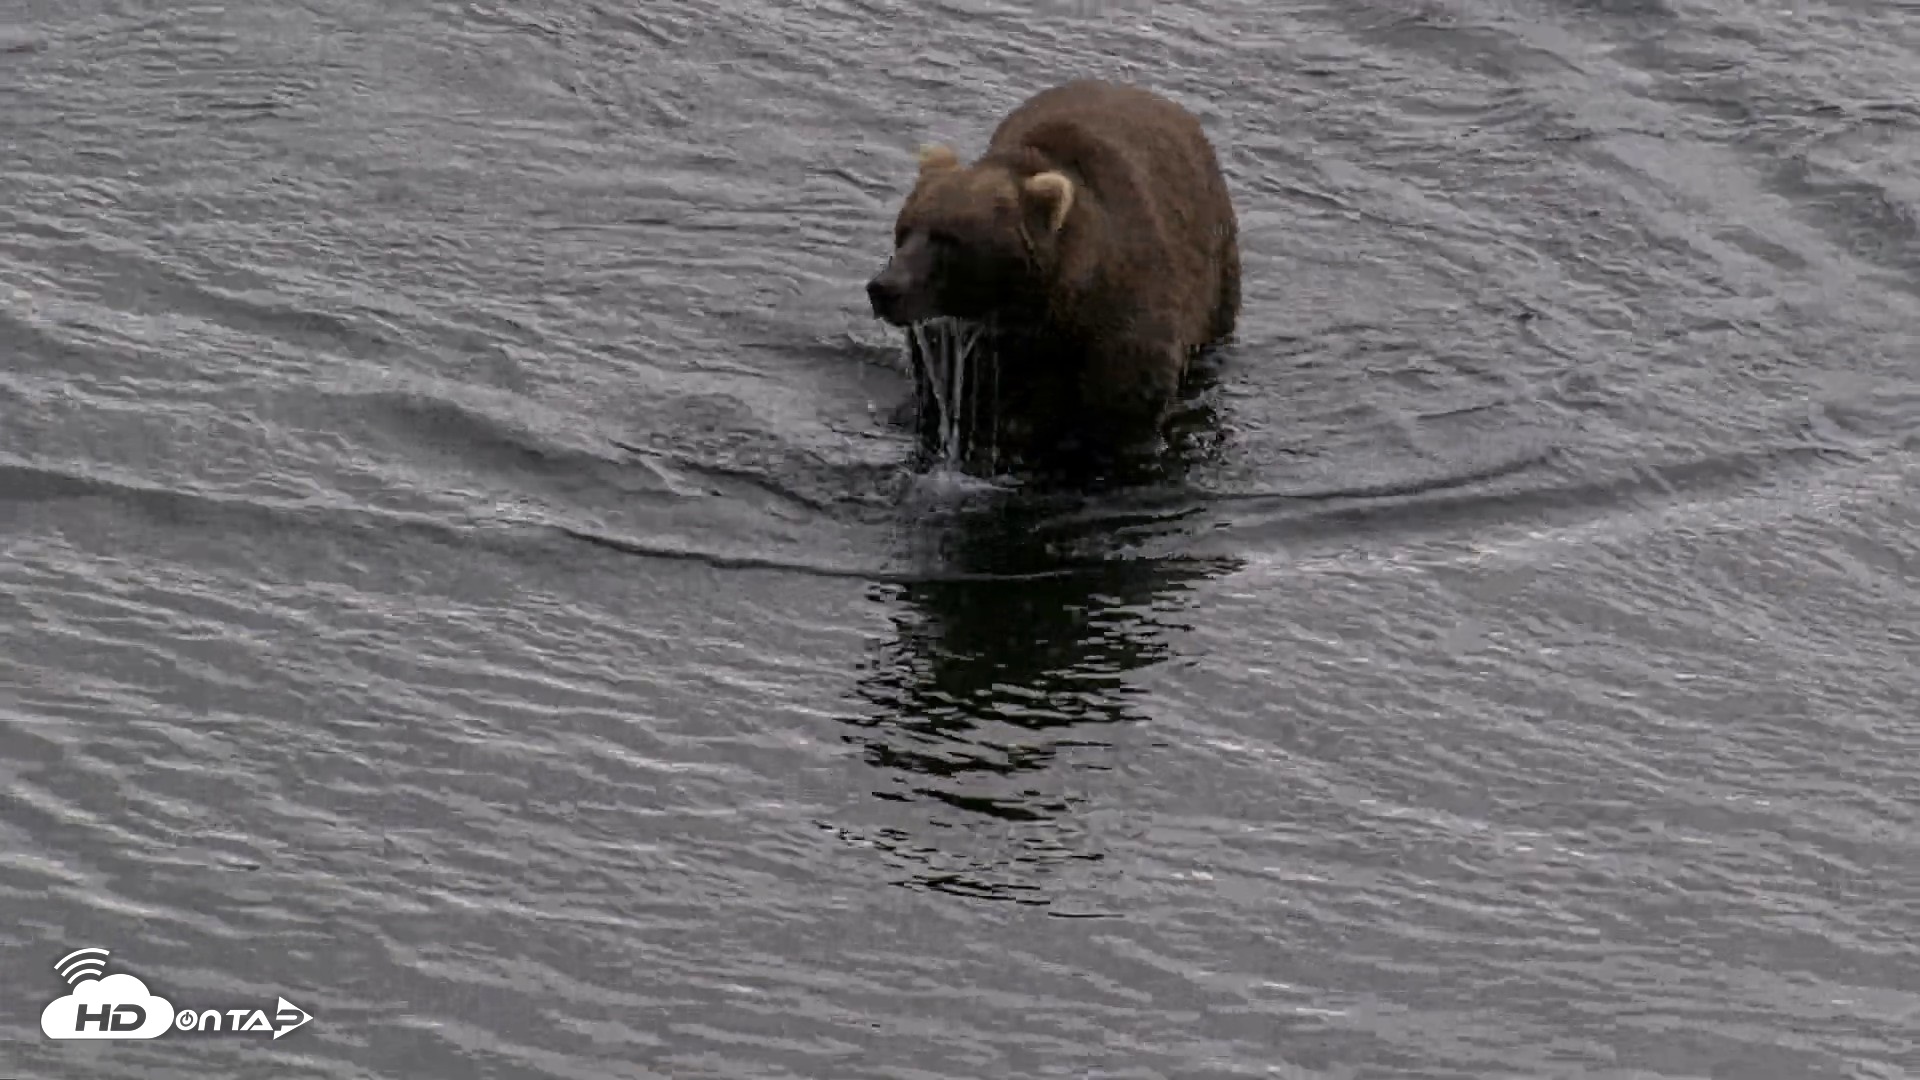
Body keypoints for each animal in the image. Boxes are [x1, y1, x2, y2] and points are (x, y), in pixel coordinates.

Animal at [866, 78, 1241, 467]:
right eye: (905, 230)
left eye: (949, 239)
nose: (884, 287)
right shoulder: (979, 350)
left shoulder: (1122, 324)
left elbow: (1127, 406)